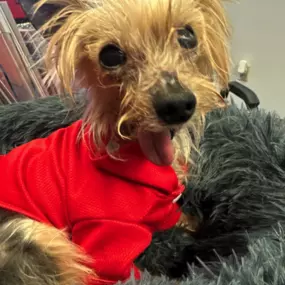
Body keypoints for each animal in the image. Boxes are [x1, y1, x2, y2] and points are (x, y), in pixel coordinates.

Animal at [0, 0, 230, 282]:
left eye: (188, 36)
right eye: (109, 56)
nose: (175, 105)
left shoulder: (164, 206)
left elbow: (176, 216)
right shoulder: (107, 243)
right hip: (32, 236)